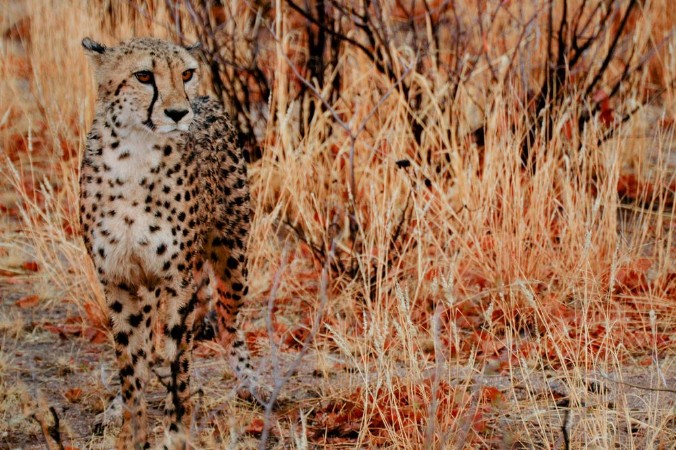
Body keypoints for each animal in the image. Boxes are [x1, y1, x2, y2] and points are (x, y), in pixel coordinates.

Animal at [80, 36, 258, 449]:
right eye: (144, 76)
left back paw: (251, 382)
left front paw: (176, 433)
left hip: (233, 259)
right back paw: (113, 409)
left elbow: (180, 365)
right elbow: (130, 364)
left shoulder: (180, 281)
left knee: (227, 323)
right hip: (147, 289)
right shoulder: (119, 281)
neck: (135, 154)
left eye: (187, 73)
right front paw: (131, 429)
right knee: (146, 347)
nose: (179, 112)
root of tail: (208, 100)